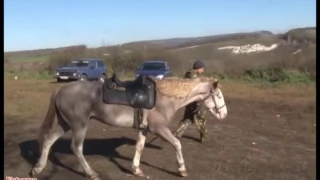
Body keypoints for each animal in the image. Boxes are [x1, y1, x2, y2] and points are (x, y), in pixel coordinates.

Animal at [28, 76, 226, 179]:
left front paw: (136, 170)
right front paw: (182, 169)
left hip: (65, 123)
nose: (224, 114)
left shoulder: (144, 129)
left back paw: (37, 168)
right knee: (76, 148)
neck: (164, 98)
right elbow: (177, 144)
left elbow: (139, 147)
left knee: (48, 140)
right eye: (218, 96)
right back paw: (91, 173)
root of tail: (60, 90)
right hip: (78, 125)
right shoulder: (159, 129)